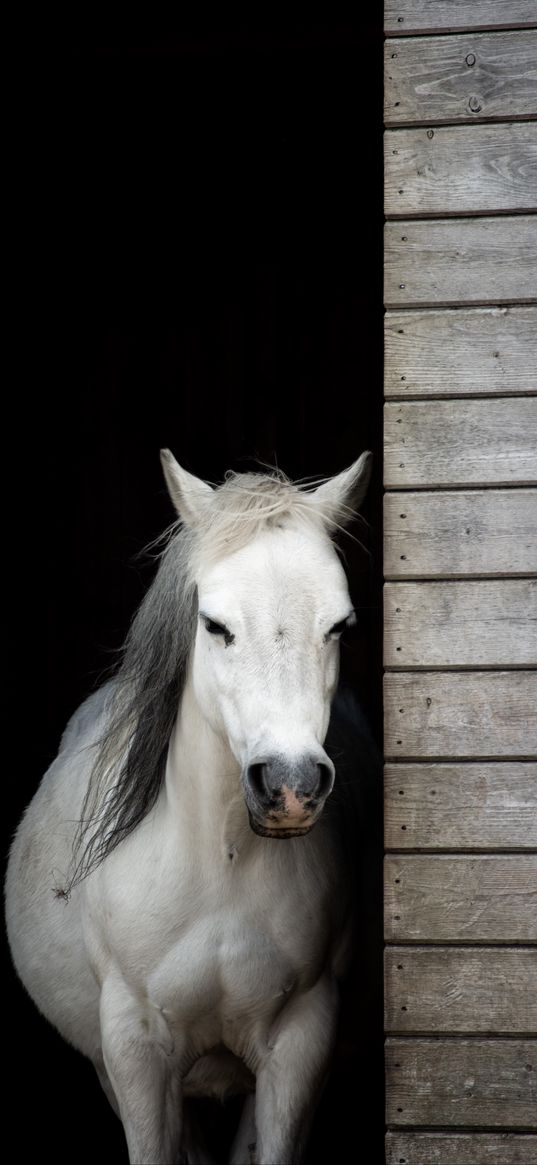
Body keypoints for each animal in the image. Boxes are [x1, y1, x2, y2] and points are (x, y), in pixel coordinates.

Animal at [6, 447, 370, 1165]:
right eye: (215, 625)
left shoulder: (300, 1042)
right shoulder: (134, 1048)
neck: (221, 863)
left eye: (338, 626)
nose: (289, 785)